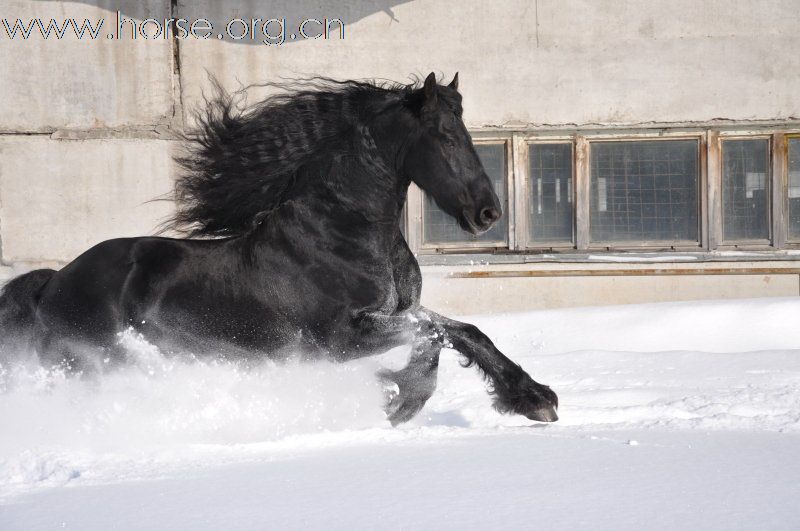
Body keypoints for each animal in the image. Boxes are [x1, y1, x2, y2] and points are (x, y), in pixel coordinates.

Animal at [0, 72, 560, 426]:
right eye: (444, 134)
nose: (487, 212)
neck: (343, 230)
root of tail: (52, 283)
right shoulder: (338, 340)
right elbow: (435, 336)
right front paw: (402, 400)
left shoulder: (396, 311)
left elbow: (464, 332)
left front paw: (534, 399)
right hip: (98, 362)